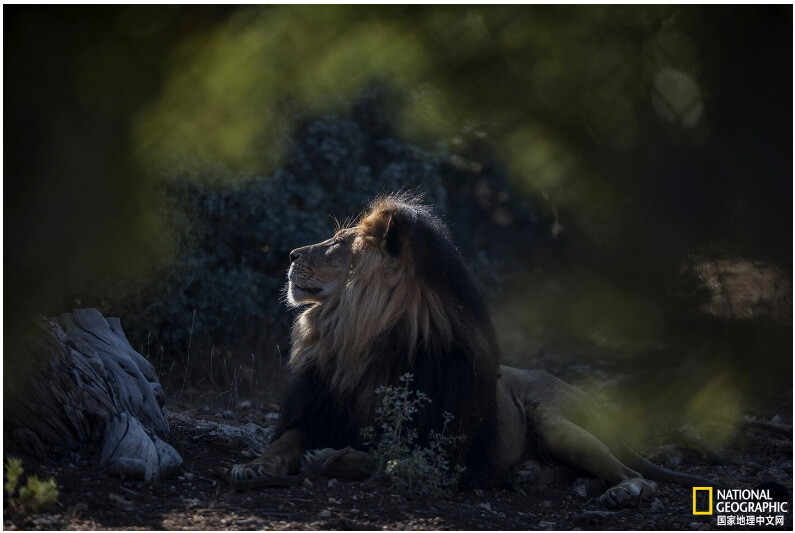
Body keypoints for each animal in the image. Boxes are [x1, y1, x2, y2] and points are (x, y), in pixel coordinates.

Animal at [230, 193, 728, 504]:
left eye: (338, 244)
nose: (291, 255)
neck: (356, 339)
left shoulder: (446, 453)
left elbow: (386, 456)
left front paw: (329, 458)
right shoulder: (315, 412)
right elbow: (285, 442)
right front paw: (254, 467)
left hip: (556, 421)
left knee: (634, 475)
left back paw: (622, 492)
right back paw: (527, 474)